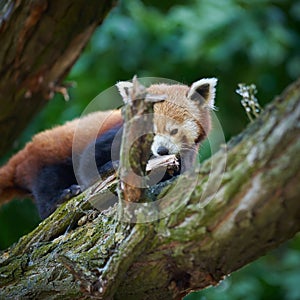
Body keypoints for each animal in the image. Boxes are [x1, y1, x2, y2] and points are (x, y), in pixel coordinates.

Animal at [0, 77, 217, 218]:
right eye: (150, 131)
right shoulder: (114, 135)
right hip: (44, 159)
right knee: (47, 184)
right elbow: (87, 163)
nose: (162, 151)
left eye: (173, 131)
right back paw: (60, 197)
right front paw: (109, 167)